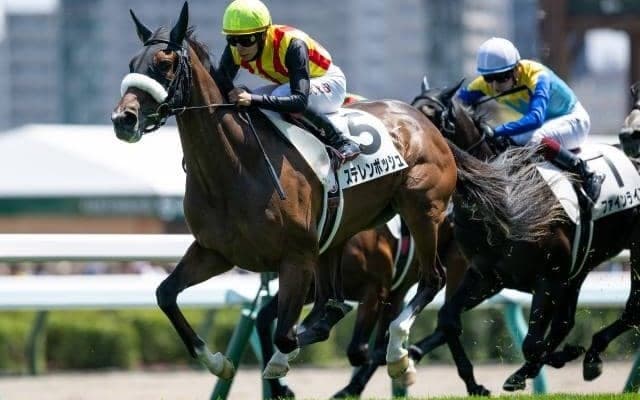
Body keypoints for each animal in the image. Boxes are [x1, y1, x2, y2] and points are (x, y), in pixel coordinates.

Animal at [111, 2, 468, 380]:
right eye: (132, 64)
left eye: (164, 63)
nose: (124, 119)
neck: (237, 167)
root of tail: (424, 122)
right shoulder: (215, 251)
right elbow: (165, 294)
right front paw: (218, 361)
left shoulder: (296, 258)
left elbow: (284, 334)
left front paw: (279, 362)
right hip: (337, 236)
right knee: (333, 308)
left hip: (421, 211)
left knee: (432, 280)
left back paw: (400, 354)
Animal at [410, 79, 640, 393]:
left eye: (431, 114)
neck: (503, 194)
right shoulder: (487, 275)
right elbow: (448, 318)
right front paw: (477, 383)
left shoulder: (549, 278)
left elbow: (532, 343)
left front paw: (562, 356)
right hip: (579, 269)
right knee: (568, 322)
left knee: (631, 307)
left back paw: (591, 354)